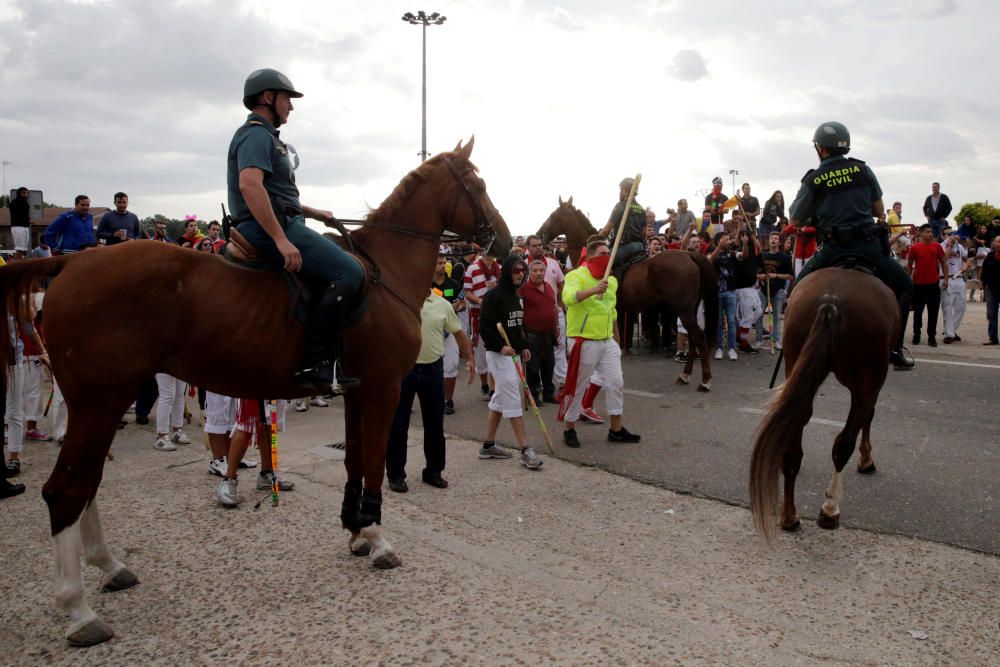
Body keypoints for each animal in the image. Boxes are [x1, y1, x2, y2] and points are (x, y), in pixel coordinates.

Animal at [0, 137, 512, 648]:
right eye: (480, 184)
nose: (506, 243)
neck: (383, 272)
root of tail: (73, 260)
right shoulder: (383, 389)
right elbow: (371, 462)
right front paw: (377, 537)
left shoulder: (356, 391)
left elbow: (353, 460)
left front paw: (355, 531)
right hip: (99, 402)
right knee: (67, 489)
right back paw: (78, 609)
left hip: (98, 406)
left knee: (87, 484)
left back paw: (109, 566)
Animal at [540, 196, 720, 388]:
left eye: (554, 215)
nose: (540, 234)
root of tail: (689, 255)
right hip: (690, 309)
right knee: (693, 338)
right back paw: (685, 375)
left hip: (684, 309)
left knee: (697, 336)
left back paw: (704, 380)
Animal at [748, 268, 896, 536]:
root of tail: (831, 301)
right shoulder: (871, 386)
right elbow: (868, 417)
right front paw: (866, 460)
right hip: (867, 382)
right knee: (843, 444)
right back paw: (830, 509)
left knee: (792, 452)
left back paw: (789, 516)